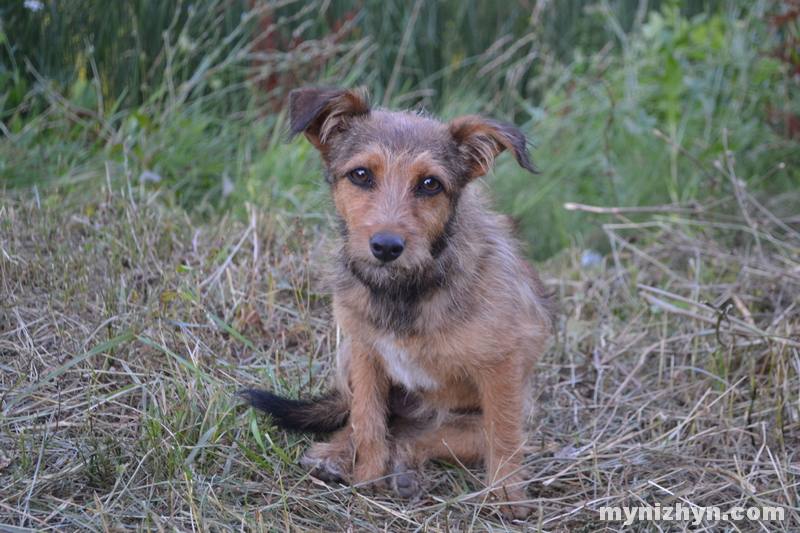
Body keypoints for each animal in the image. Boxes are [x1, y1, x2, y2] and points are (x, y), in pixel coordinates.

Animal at [241, 88, 552, 520]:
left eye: (430, 184)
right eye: (360, 175)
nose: (386, 247)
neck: (404, 290)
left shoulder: (502, 366)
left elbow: (503, 436)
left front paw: (506, 496)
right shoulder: (365, 350)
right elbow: (368, 420)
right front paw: (367, 479)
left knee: (426, 436)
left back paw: (405, 468)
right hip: (346, 357)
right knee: (368, 419)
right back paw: (337, 455)